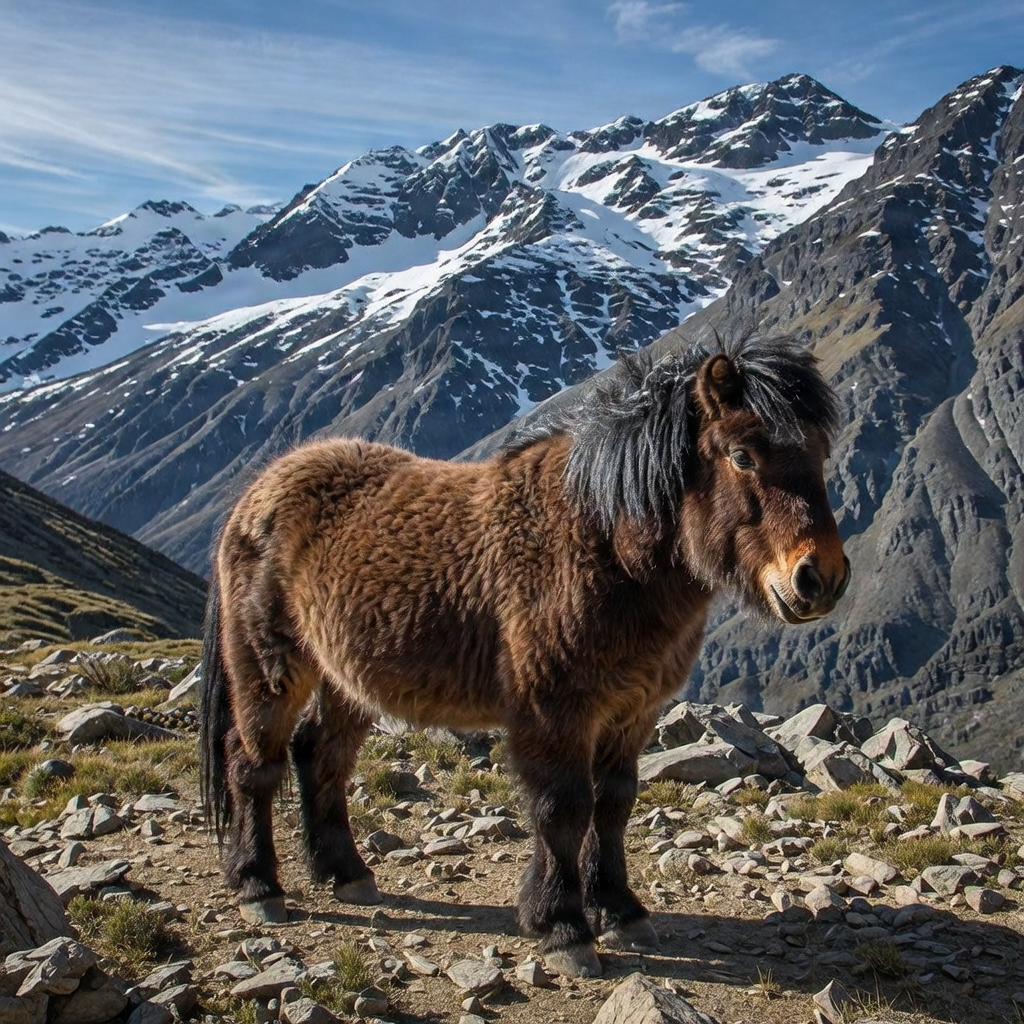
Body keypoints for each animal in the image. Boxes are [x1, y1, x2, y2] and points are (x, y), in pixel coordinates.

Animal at [199, 335, 850, 979]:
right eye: (743, 456)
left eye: (820, 452)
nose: (820, 580)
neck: (603, 546)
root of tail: (258, 490)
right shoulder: (554, 711)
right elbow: (564, 809)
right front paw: (563, 927)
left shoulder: (632, 712)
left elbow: (613, 804)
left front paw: (619, 908)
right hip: (269, 667)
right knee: (253, 763)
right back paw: (258, 886)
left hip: (345, 678)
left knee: (319, 756)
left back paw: (346, 874)